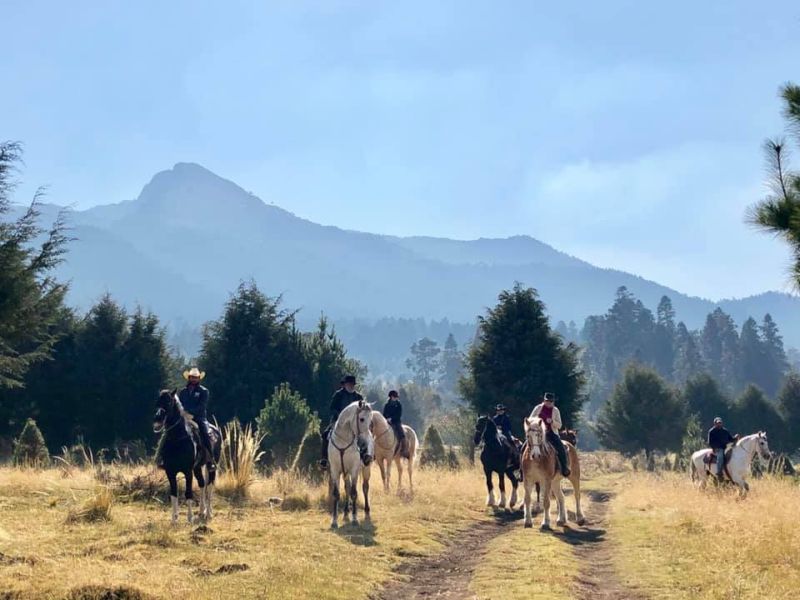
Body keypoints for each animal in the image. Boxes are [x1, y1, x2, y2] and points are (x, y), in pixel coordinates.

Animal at [153, 392, 220, 524]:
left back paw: (208, 513)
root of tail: (215, 429)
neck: (177, 440)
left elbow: (188, 493)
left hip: (211, 466)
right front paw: (174, 519)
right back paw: (201, 511)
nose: (157, 420)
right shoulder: (170, 472)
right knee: (202, 484)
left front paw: (190, 518)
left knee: (210, 486)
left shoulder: (188, 472)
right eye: (158, 401)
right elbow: (174, 493)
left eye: (169, 402)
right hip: (197, 468)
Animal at [326, 400, 374, 528]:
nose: (364, 444)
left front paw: (355, 519)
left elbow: (354, 493)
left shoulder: (354, 470)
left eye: (371, 419)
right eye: (361, 419)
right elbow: (336, 493)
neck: (343, 441)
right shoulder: (335, 470)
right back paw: (346, 513)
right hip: (345, 473)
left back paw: (367, 512)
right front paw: (334, 521)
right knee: (347, 488)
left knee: (365, 488)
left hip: (366, 469)